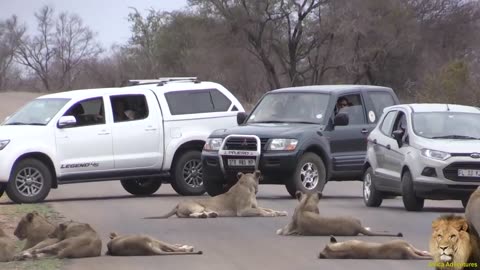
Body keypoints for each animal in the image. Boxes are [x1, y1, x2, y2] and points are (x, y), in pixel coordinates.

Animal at [144, 171, 286, 219]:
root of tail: (178, 204)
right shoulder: (242, 211)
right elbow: (261, 211)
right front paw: (269, 214)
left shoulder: (254, 206)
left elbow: (267, 208)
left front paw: (280, 212)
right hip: (197, 206)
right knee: (192, 215)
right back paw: (205, 216)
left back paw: (211, 214)